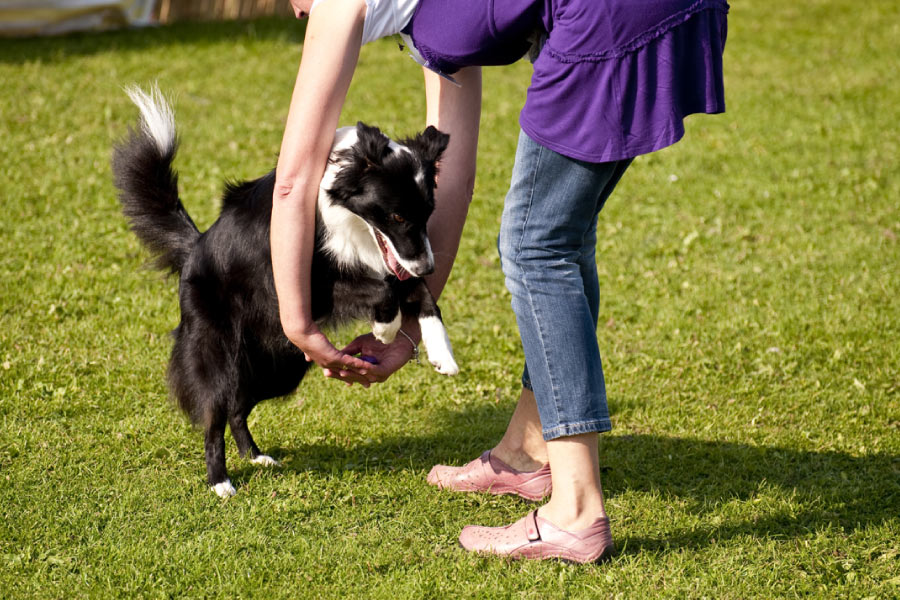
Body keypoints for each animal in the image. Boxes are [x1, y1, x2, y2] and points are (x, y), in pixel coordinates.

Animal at [114, 85, 458, 496]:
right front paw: (385, 329)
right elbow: (382, 289)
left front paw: (442, 352)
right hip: (219, 354)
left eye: (428, 213)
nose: (429, 266)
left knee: (236, 408)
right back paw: (220, 482)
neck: (342, 211)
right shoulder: (309, 286)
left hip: (279, 365)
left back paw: (255, 456)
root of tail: (194, 247)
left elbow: (418, 292)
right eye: (396, 216)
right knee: (214, 416)